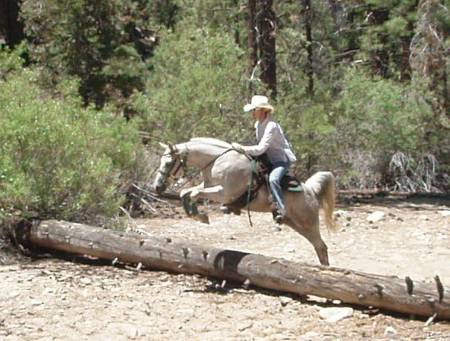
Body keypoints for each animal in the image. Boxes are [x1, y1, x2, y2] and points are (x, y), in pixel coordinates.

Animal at [153, 137, 336, 264]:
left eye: (169, 162)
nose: (157, 187)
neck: (217, 161)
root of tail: (311, 191)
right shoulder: (208, 186)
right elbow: (187, 192)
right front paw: (199, 216)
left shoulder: (223, 193)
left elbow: (194, 193)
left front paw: (201, 216)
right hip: (295, 224)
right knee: (319, 247)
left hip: (308, 222)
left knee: (321, 246)